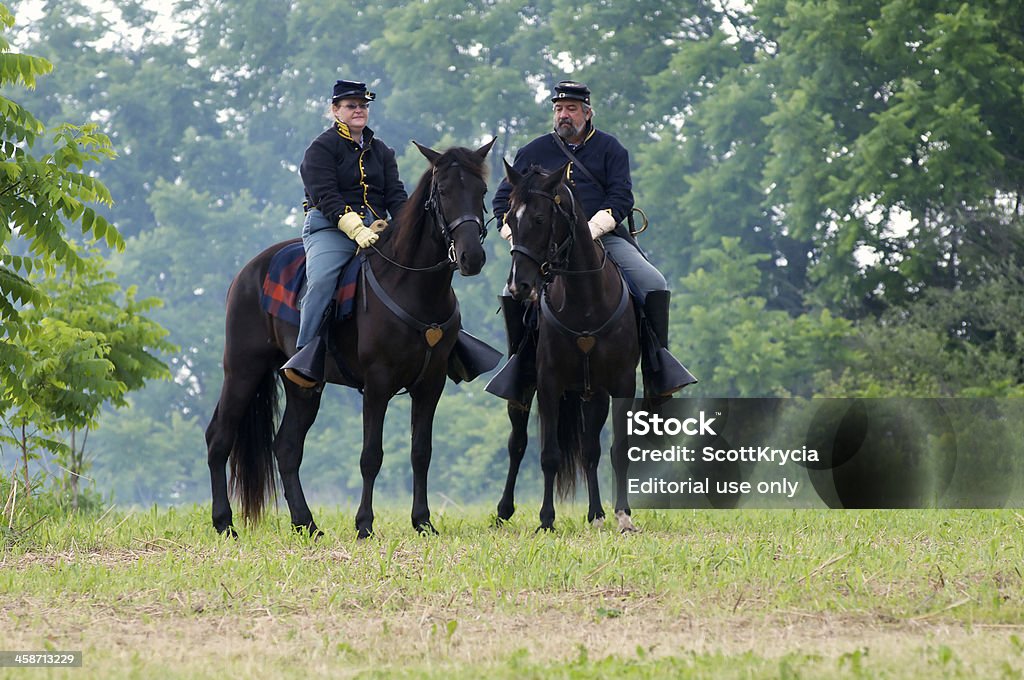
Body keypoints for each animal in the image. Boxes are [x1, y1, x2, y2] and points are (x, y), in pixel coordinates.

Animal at [206, 139, 495, 536]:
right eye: (444, 191)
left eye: (481, 191)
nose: (472, 257)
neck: (411, 285)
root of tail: (248, 272)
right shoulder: (377, 383)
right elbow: (371, 455)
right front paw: (364, 524)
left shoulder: (430, 384)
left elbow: (421, 452)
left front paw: (423, 522)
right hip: (242, 370)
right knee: (219, 438)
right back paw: (224, 523)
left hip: (303, 385)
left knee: (287, 448)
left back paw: (306, 524)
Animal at [491, 161, 634, 532]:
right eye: (509, 218)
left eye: (540, 218)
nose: (520, 285)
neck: (586, 301)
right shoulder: (549, 385)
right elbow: (549, 455)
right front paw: (546, 520)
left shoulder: (621, 385)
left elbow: (616, 449)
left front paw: (623, 515)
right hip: (524, 391)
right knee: (517, 444)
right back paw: (503, 510)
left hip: (592, 395)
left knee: (589, 450)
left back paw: (596, 514)